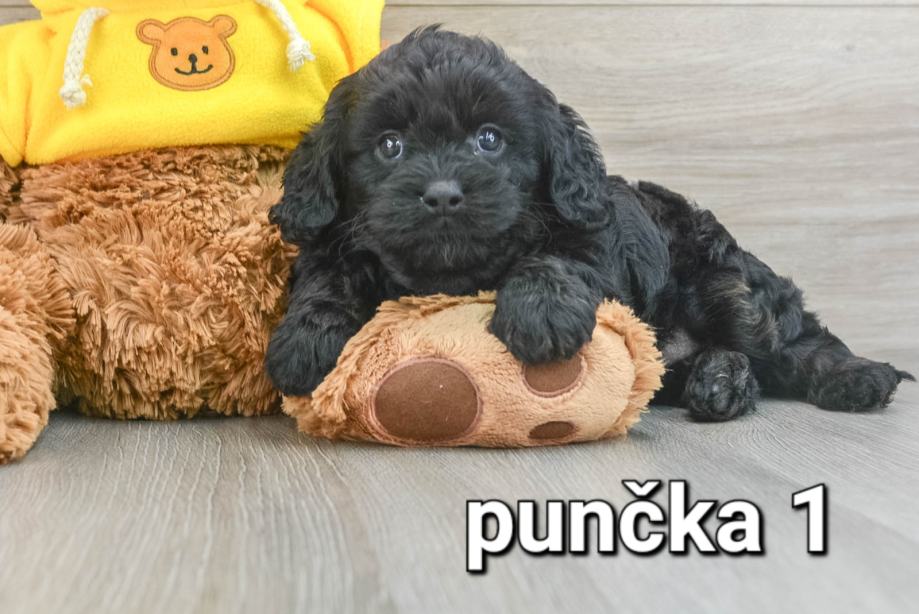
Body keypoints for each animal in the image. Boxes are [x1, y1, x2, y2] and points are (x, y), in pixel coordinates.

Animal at [265, 27, 912, 421]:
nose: (444, 195)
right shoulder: (333, 237)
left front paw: (541, 315)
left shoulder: (594, 234)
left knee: (787, 341)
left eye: (490, 140)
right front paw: (305, 341)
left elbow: (559, 255)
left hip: (725, 284)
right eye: (390, 146)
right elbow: (328, 275)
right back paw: (718, 382)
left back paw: (849, 378)